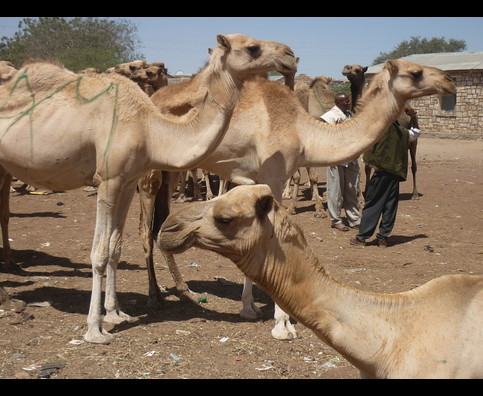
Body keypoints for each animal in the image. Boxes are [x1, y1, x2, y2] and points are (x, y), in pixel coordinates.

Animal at [0, 34, 298, 344]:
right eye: (252, 48)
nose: (289, 55)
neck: (150, 130)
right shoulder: (108, 179)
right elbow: (99, 253)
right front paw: (95, 329)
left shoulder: (129, 180)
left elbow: (116, 246)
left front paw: (115, 314)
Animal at [342, 65, 422, 201]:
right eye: (348, 67)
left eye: (357, 69)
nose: (345, 69)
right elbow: (367, 166)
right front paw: (364, 192)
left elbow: (368, 166)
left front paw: (365, 194)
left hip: (413, 141)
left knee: (414, 165)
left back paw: (415, 194)